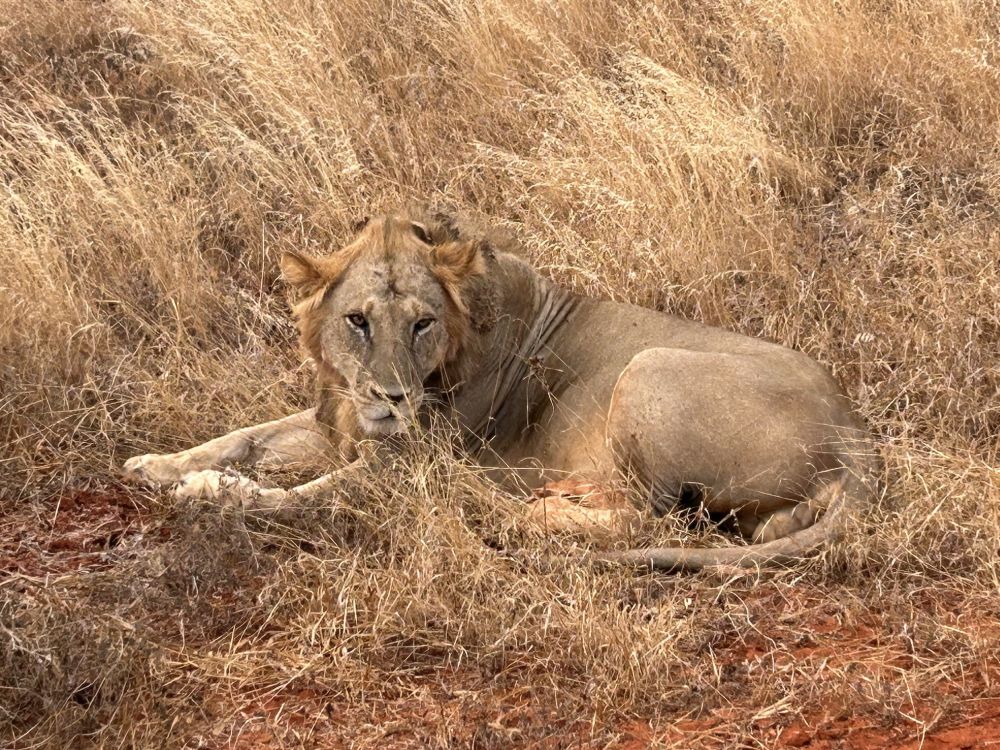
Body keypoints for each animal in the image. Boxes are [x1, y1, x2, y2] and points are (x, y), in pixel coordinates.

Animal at [123, 207, 878, 570]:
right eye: (358, 321)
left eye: (422, 323)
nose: (393, 398)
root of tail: (854, 435)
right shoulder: (336, 417)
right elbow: (241, 436)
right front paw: (154, 465)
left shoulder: (405, 467)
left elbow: (299, 498)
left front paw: (211, 494)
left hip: (649, 369)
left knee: (647, 520)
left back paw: (511, 509)